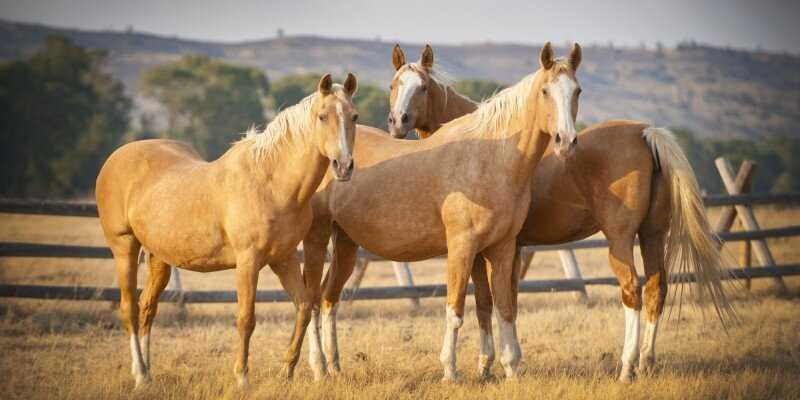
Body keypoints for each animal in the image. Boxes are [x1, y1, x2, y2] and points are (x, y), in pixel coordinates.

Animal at [95, 73, 358, 386]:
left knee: (147, 307)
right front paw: (242, 378)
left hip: (159, 257)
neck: (271, 183)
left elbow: (304, 308)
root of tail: (114, 159)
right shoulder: (248, 262)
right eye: (322, 116)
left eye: (354, 116)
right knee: (130, 309)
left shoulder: (284, 259)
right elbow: (246, 319)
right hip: (124, 247)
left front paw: (287, 370)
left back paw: (148, 371)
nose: (343, 166)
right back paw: (140, 375)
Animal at [304, 43, 584, 382]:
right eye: (545, 91)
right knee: (312, 300)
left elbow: (504, 308)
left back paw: (334, 366)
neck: (491, 157)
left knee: (329, 299)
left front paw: (510, 369)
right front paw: (451, 371)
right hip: (317, 239)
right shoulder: (462, 248)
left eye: (577, 91)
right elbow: (457, 310)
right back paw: (318, 367)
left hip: (345, 243)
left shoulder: (503, 248)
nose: (566, 141)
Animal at [384, 43, 736, 382]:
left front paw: (488, 365)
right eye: (394, 84)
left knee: (631, 291)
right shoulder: (508, 249)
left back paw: (627, 367)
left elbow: (486, 302)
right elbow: (505, 301)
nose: (398, 122)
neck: (490, 142)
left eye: (423, 87)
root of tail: (644, 133)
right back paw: (647, 362)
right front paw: (502, 362)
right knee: (655, 289)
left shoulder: (482, 250)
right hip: (652, 234)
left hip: (620, 239)